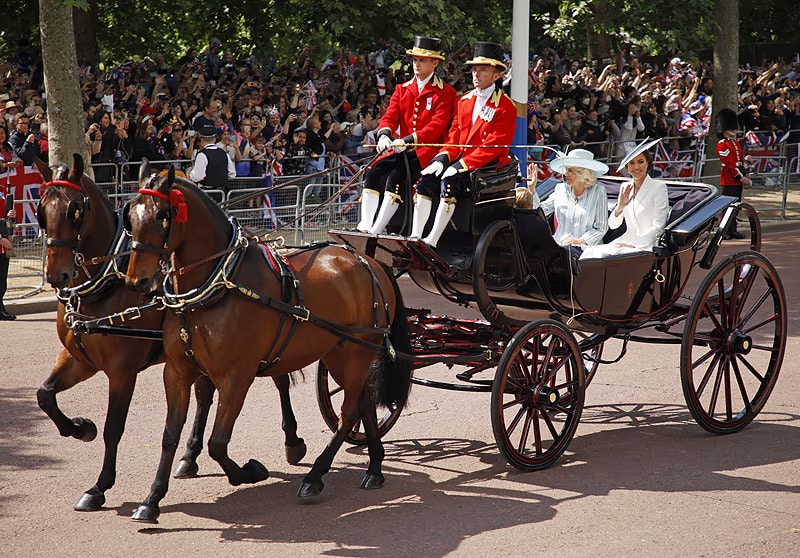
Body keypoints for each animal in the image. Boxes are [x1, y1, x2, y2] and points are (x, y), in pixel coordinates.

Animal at [33, 155, 306, 516]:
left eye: (75, 210)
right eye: (41, 210)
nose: (56, 275)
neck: (106, 286)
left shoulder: (123, 371)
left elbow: (113, 429)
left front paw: (100, 486)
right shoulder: (79, 359)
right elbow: (45, 395)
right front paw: (80, 428)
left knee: (279, 380)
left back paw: (293, 442)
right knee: (206, 396)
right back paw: (189, 457)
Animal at [125, 162, 412, 524]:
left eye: (163, 215)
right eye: (130, 215)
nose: (138, 281)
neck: (218, 284)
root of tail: (368, 262)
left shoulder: (237, 376)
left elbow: (218, 442)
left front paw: (250, 471)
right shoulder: (177, 372)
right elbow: (169, 436)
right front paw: (152, 499)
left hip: (358, 352)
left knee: (348, 413)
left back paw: (316, 476)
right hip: (339, 354)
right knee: (364, 403)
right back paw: (374, 467)